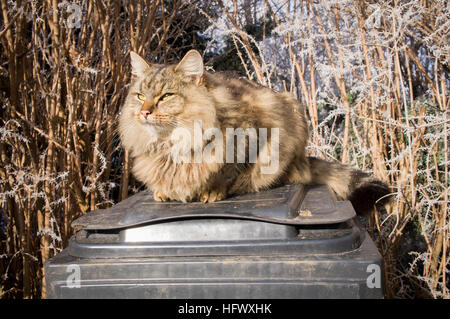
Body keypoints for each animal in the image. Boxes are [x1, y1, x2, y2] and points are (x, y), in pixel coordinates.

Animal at [119, 50, 390, 216]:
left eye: (166, 96)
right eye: (140, 96)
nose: (143, 112)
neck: (172, 142)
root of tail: (303, 159)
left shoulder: (250, 138)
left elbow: (226, 172)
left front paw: (211, 191)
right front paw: (165, 190)